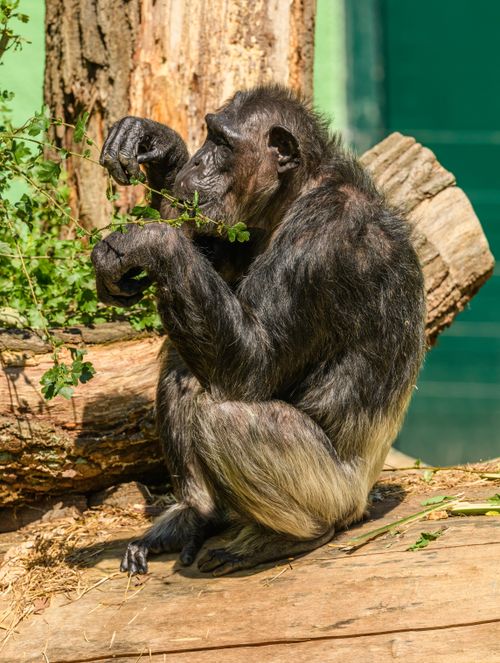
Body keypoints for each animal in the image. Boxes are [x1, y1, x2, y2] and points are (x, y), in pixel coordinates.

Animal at [91, 85, 426, 576]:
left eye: (223, 144)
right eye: (208, 136)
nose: (197, 162)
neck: (296, 194)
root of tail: (364, 497)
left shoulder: (319, 245)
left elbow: (255, 362)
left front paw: (147, 240)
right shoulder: (240, 233)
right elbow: (207, 261)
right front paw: (158, 146)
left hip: (332, 492)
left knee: (225, 415)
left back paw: (285, 537)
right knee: (183, 366)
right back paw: (196, 515)